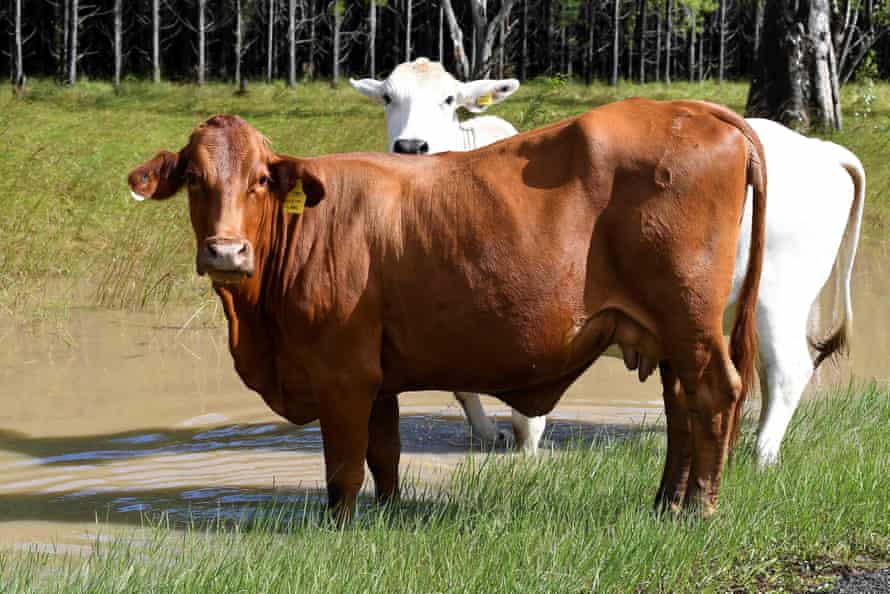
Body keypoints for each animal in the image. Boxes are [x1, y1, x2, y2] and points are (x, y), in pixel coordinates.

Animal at [128, 99, 767, 521]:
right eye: (193, 178)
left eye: (261, 180)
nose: (225, 251)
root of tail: (694, 108)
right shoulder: (377, 377)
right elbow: (384, 457)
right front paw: (386, 518)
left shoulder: (342, 374)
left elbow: (343, 470)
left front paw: (339, 527)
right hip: (668, 330)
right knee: (681, 404)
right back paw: (665, 504)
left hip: (690, 318)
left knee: (713, 394)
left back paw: (698, 510)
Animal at [358, 59, 866, 467]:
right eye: (387, 96)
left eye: (448, 99)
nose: (411, 146)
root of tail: (821, 149)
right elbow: (464, 386)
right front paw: (488, 434)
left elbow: (526, 409)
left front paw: (527, 443)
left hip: (778, 297)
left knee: (787, 370)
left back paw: (761, 455)